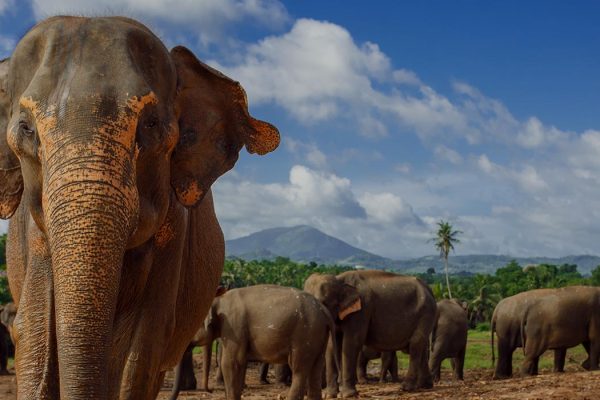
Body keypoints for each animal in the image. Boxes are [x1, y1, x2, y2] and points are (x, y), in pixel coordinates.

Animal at [304, 268, 436, 396]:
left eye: (324, 303)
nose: (339, 386)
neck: (339, 279)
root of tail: (429, 288)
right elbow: (331, 345)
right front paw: (330, 395)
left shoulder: (362, 311)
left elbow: (352, 342)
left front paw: (348, 395)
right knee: (421, 346)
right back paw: (425, 386)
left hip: (425, 312)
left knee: (415, 344)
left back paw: (406, 388)